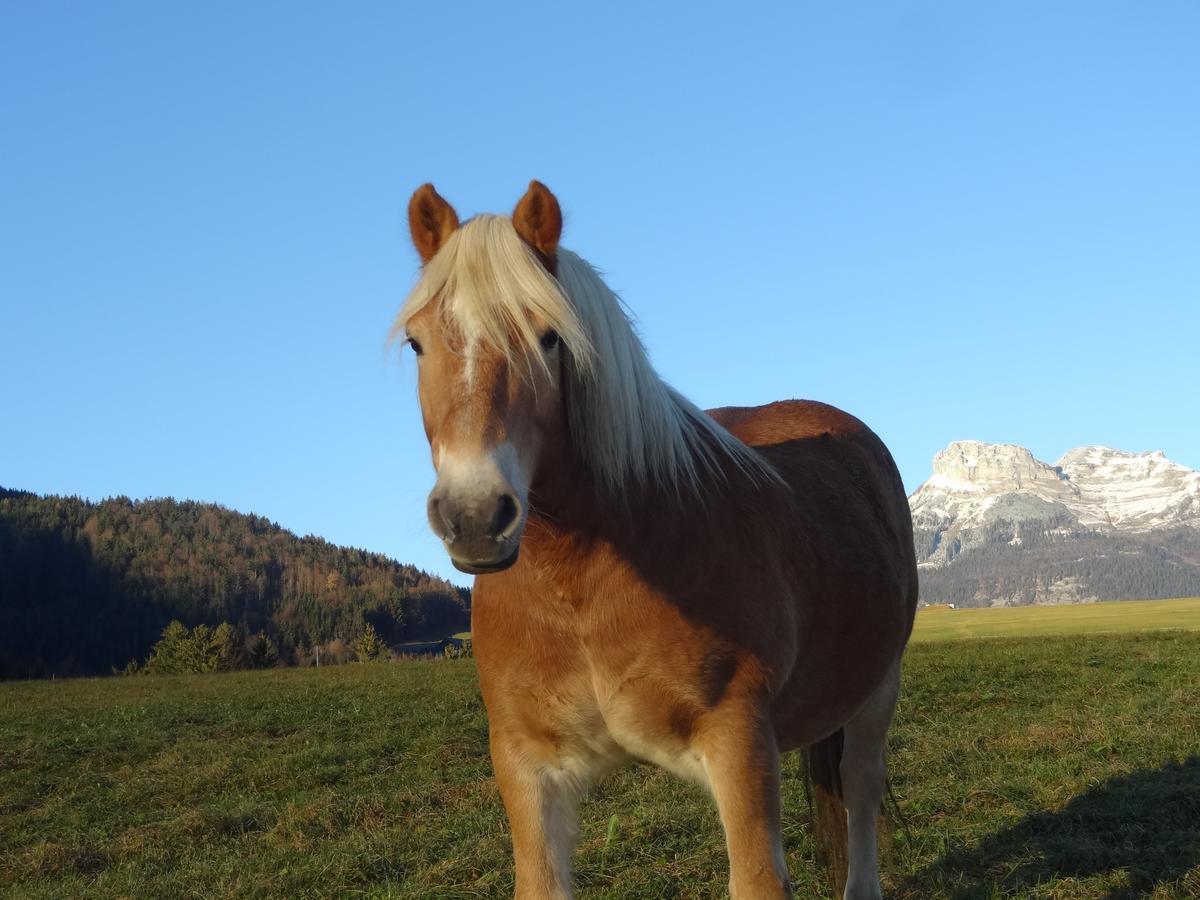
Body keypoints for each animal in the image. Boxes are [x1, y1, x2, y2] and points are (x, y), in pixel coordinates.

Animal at [396, 180, 916, 897]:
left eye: (550, 337)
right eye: (416, 344)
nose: (474, 515)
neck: (582, 582)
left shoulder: (739, 745)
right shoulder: (527, 766)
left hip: (876, 689)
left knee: (860, 792)